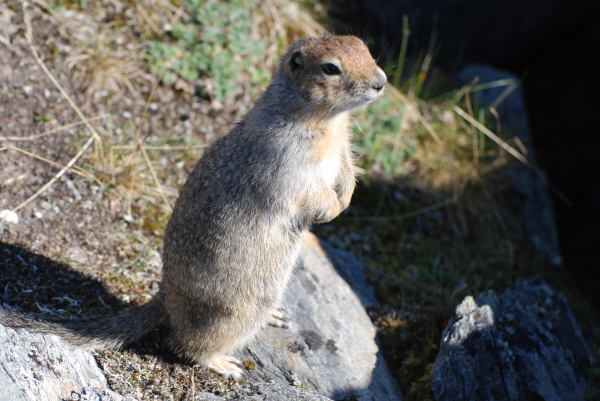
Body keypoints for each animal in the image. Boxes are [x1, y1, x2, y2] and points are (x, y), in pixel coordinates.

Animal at [1, 33, 390, 378]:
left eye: (365, 48)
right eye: (330, 68)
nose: (381, 83)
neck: (328, 121)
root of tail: (165, 298)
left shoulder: (343, 149)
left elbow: (348, 172)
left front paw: (345, 199)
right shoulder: (285, 159)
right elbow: (306, 193)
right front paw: (331, 209)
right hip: (232, 313)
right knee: (184, 344)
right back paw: (224, 364)